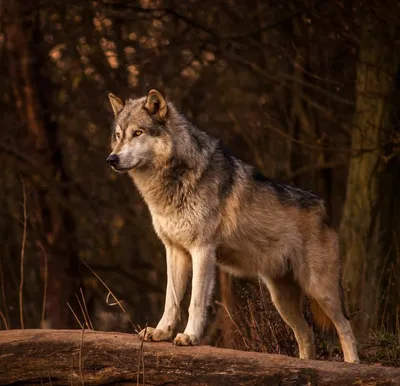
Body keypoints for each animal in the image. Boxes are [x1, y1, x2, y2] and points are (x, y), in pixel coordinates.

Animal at [105, 89, 360, 362]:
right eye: (118, 136)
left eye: (138, 133)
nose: (111, 159)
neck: (172, 181)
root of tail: (324, 208)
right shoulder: (175, 251)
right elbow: (171, 299)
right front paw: (161, 332)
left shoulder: (202, 251)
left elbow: (195, 301)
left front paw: (189, 336)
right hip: (281, 299)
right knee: (306, 334)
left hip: (319, 290)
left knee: (345, 326)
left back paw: (352, 364)